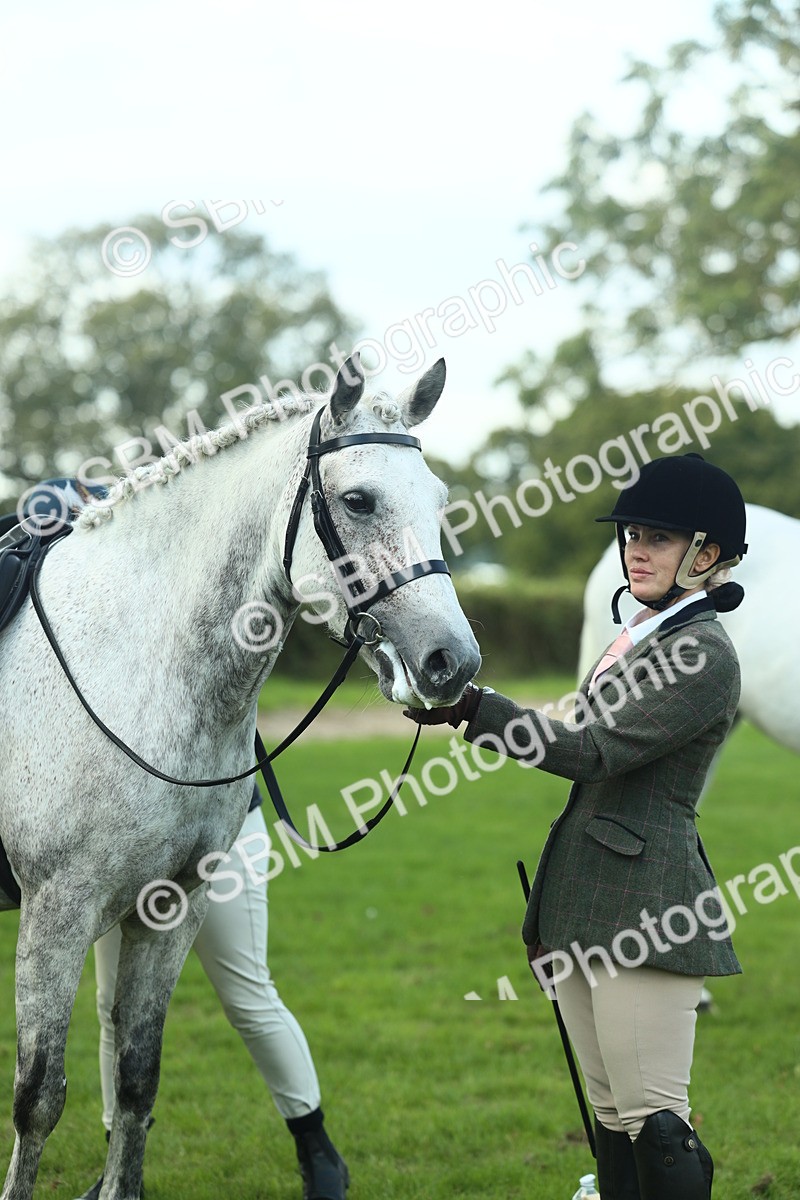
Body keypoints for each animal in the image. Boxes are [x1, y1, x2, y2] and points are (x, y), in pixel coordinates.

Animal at [0, 354, 481, 1200]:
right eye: (358, 500)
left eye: (439, 501)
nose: (451, 662)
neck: (132, 666)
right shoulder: (55, 913)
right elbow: (38, 1099)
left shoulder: (170, 906)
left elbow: (136, 1079)